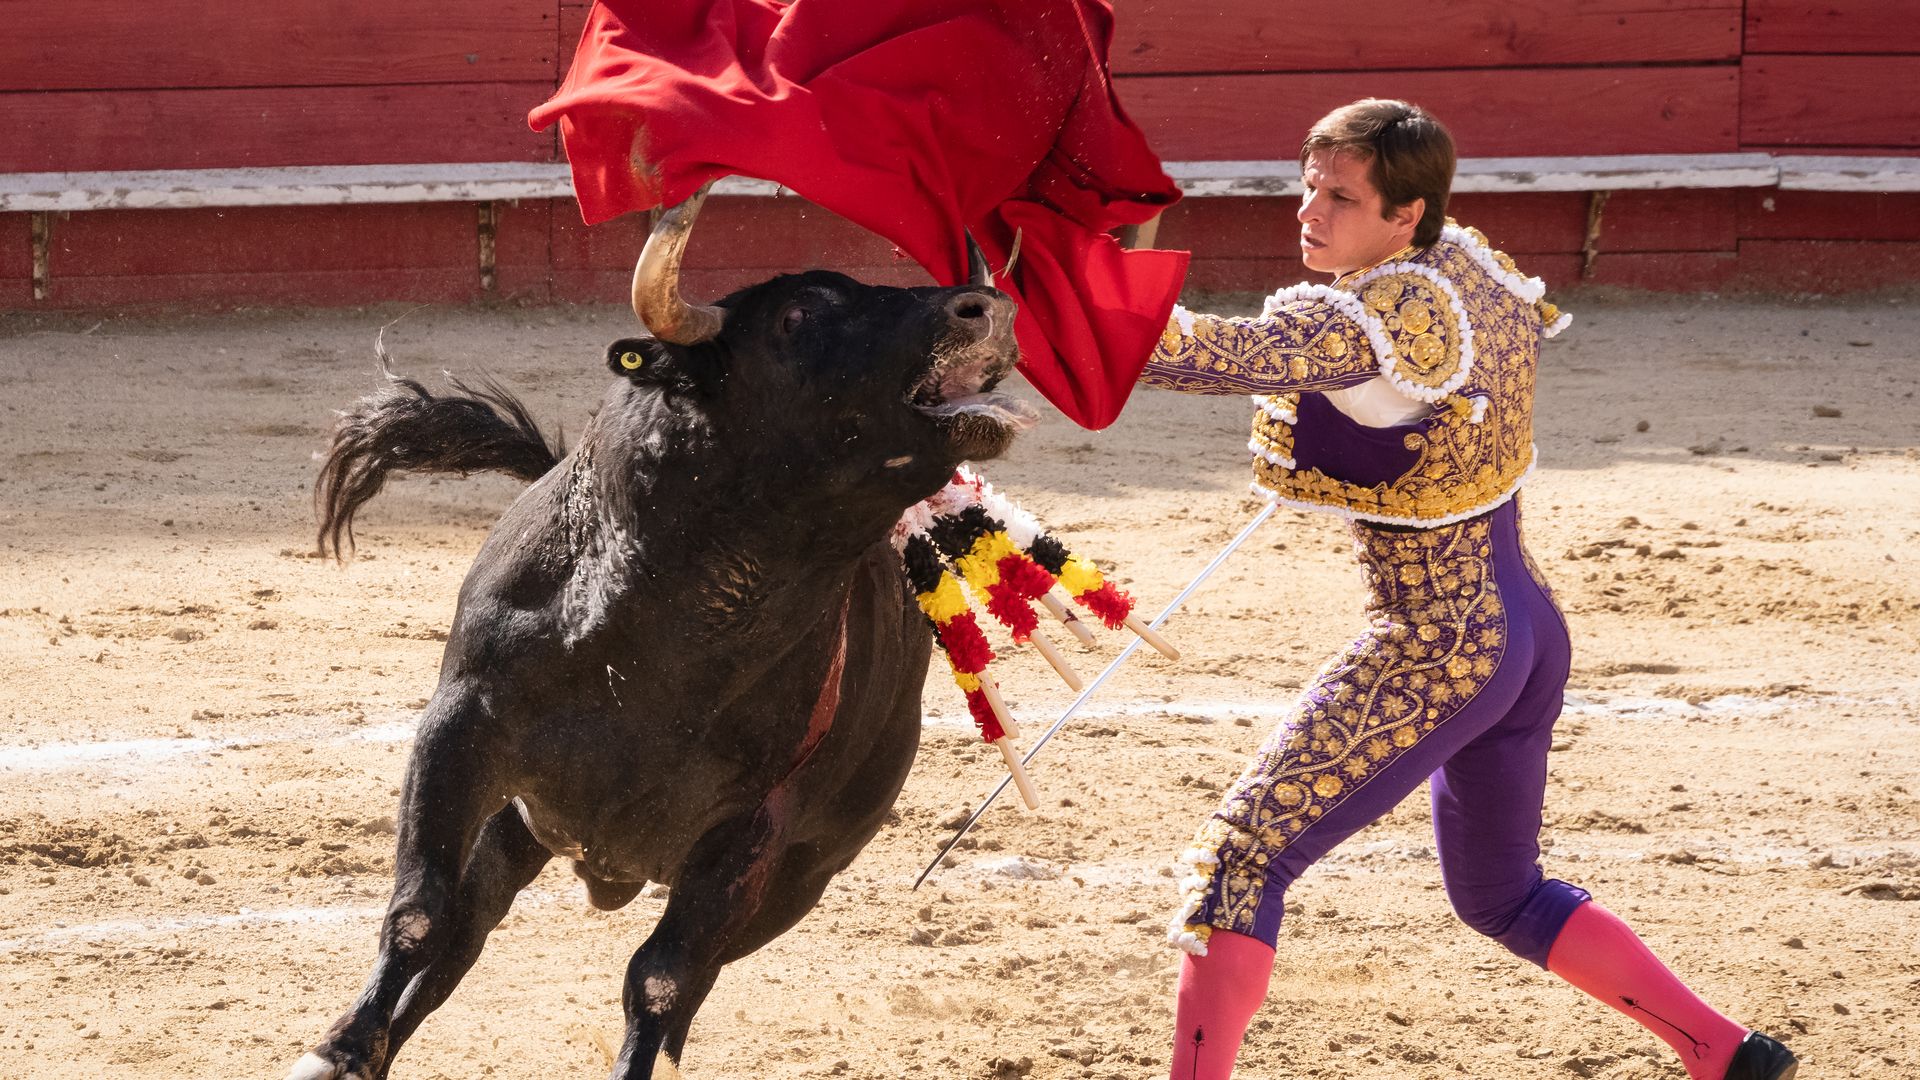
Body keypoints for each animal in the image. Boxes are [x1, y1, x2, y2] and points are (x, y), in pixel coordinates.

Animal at [284, 189, 1036, 1068]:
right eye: (798, 314)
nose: (985, 308)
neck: (660, 634)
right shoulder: (458, 732)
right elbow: (419, 912)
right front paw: (335, 1053)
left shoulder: (752, 830)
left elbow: (661, 979)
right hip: (520, 823)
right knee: (465, 926)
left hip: (795, 881)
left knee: (686, 974)